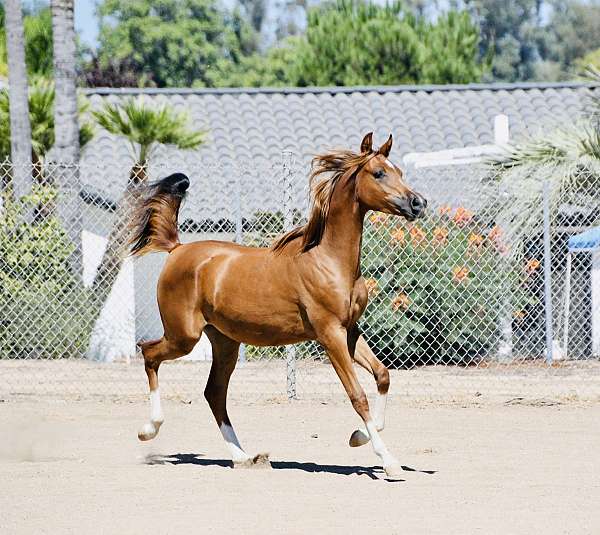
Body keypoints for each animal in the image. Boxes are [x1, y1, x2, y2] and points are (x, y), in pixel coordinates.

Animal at [130, 134, 426, 478]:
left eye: (399, 171)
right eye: (378, 173)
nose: (418, 203)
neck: (328, 259)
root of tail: (177, 249)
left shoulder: (349, 330)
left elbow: (383, 375)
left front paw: (359, 436)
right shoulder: (330, 335)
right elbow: (357, 395)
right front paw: (388, 461)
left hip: (225, 341)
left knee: (214, 393)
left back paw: (243, 457)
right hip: (184, 336)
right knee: (149, 354)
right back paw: (148, 429)